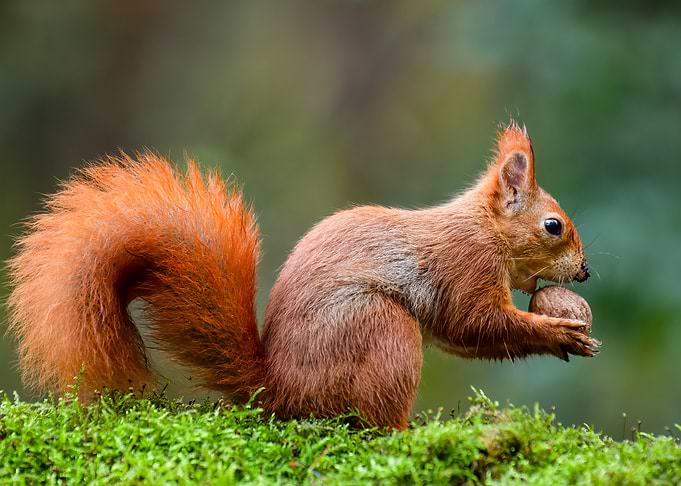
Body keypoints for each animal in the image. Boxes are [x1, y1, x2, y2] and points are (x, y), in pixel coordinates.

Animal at [6, 121, 598, 429]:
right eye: (553, 226)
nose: (587, 271)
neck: (485, 230)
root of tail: (277, 388)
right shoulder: (465, 267)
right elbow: (474, 323)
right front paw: (558, 332)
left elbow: (466, 338)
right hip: (379, 330)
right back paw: (402, 433)